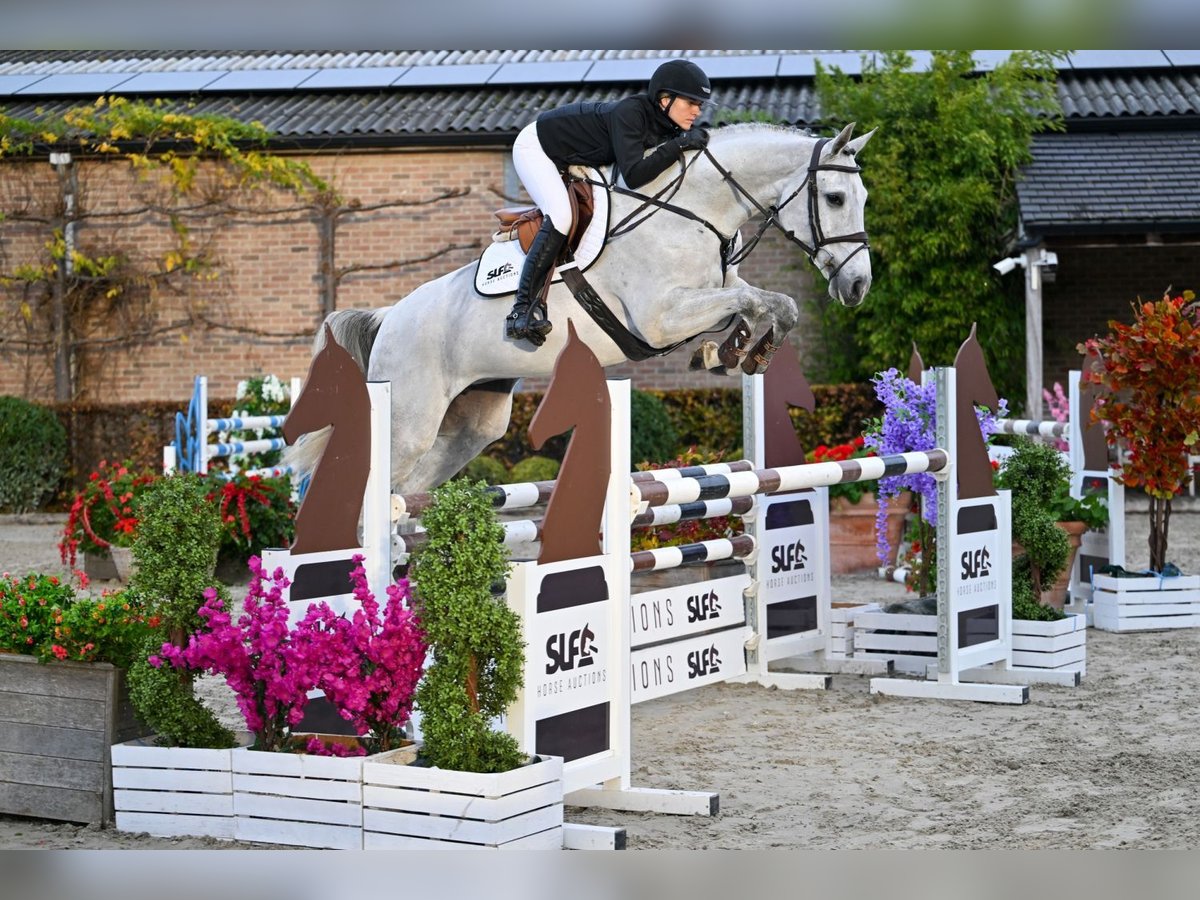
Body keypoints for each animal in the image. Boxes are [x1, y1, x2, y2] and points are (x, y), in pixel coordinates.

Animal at [286, 122, 874, 495]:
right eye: (836, 198)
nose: (858, 286)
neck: (693, 212)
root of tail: (389, 319)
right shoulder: (660, 319)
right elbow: (755, 299)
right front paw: (736, 351)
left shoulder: (704, 300)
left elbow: (773, 303)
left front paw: (736, 352)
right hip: (408, 420)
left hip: (471, 425)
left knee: (405, 491)